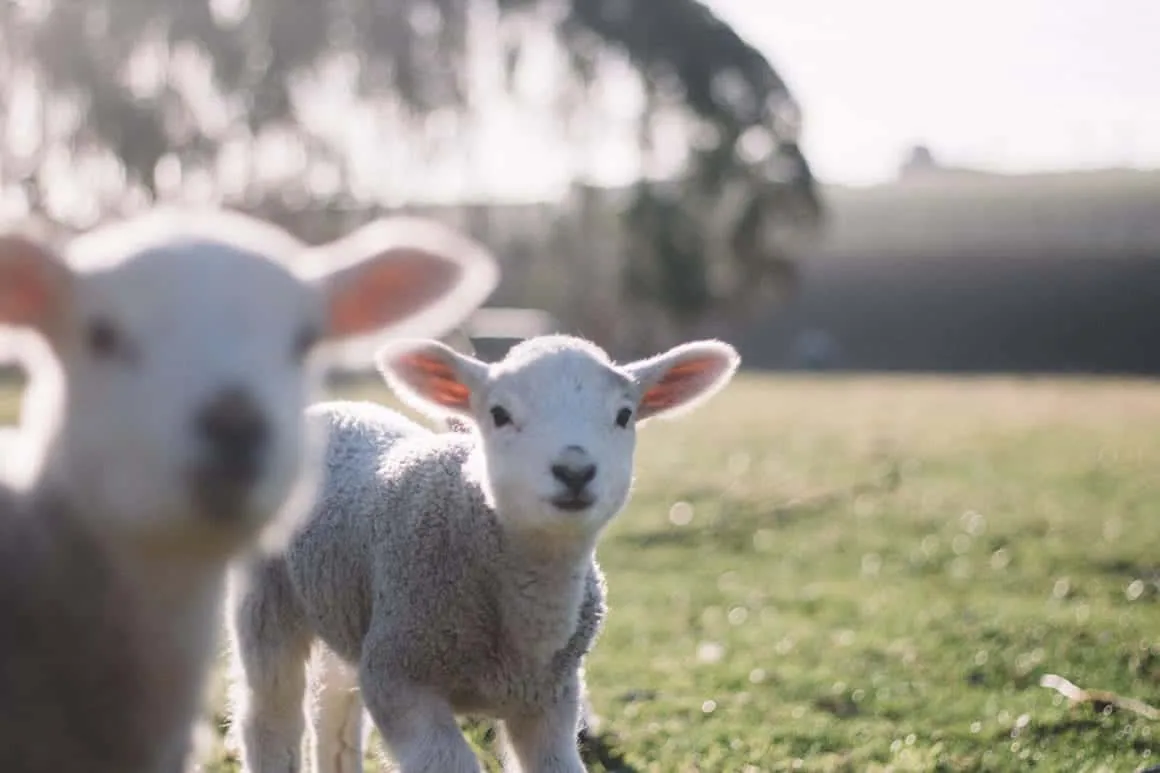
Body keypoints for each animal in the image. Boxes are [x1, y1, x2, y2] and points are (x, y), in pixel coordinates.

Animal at [228, 333, 741, 773]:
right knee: (269, 714)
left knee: (334, 705)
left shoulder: (551, 700)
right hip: (266, 599)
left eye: (623, 415)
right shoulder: (399, 676)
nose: (574, 470)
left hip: (349, 607)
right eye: (499, 413)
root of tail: (334, 408)